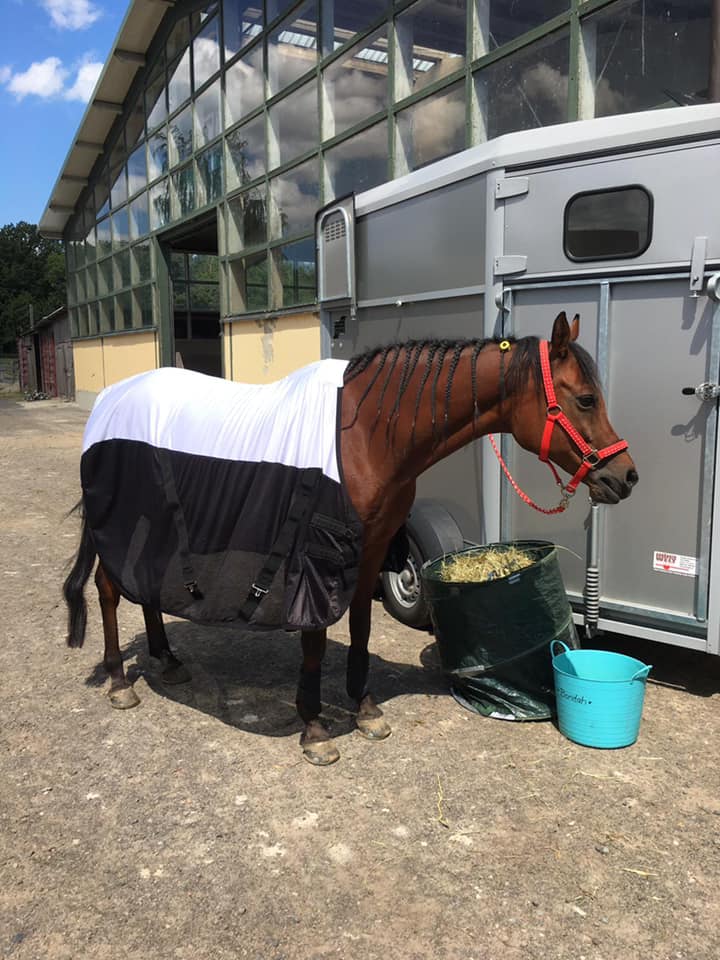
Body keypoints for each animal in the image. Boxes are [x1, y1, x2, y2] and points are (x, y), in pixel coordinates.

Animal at [62, 316, 636, 764]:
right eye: (586, 399)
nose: (625, 477)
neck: (366, 436)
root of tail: (109, 398)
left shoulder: (372, 548)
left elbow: (361, 627)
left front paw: (365, 710)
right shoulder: (318, 555)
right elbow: (315, 638)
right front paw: (315, 729)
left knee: (145, 585)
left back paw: (168, 660)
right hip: (125, 519)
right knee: (110, 589)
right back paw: (119, 683)